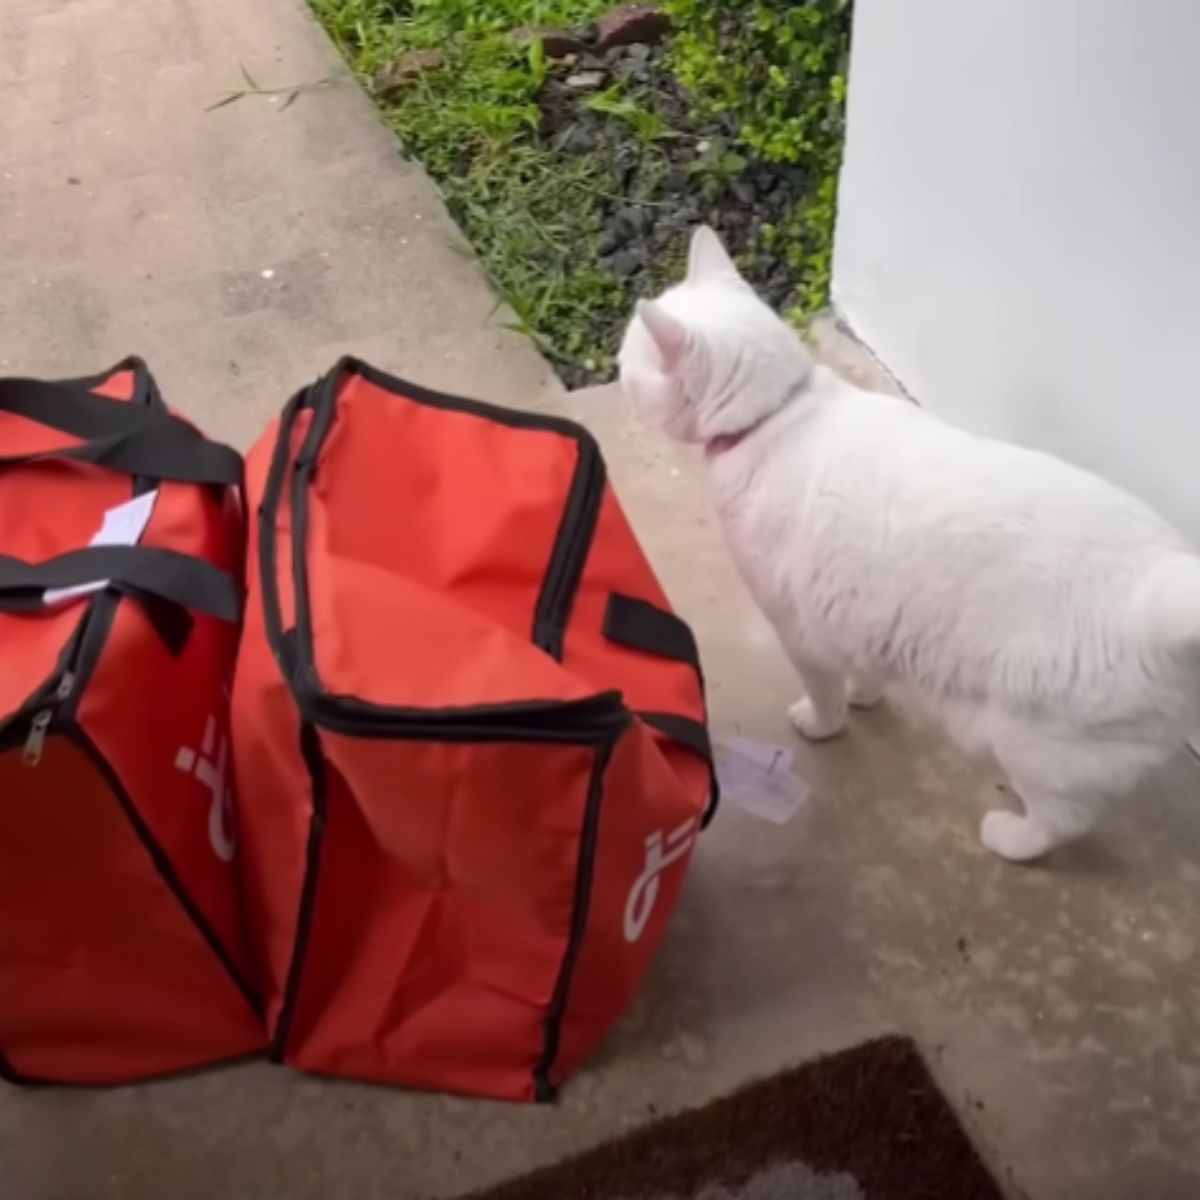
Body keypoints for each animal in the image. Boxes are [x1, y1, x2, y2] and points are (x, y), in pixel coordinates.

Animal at [619, 225, 1200, 864]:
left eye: (627, 360)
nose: (617, 371)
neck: (779, 412)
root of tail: (1162, 587)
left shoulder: (798, 629)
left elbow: (824, 691)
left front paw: (824, 722)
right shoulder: (858, 609)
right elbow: (866, 667)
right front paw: (867, 695)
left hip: (1035, 743)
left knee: (1061, 818)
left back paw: (1010, 838)